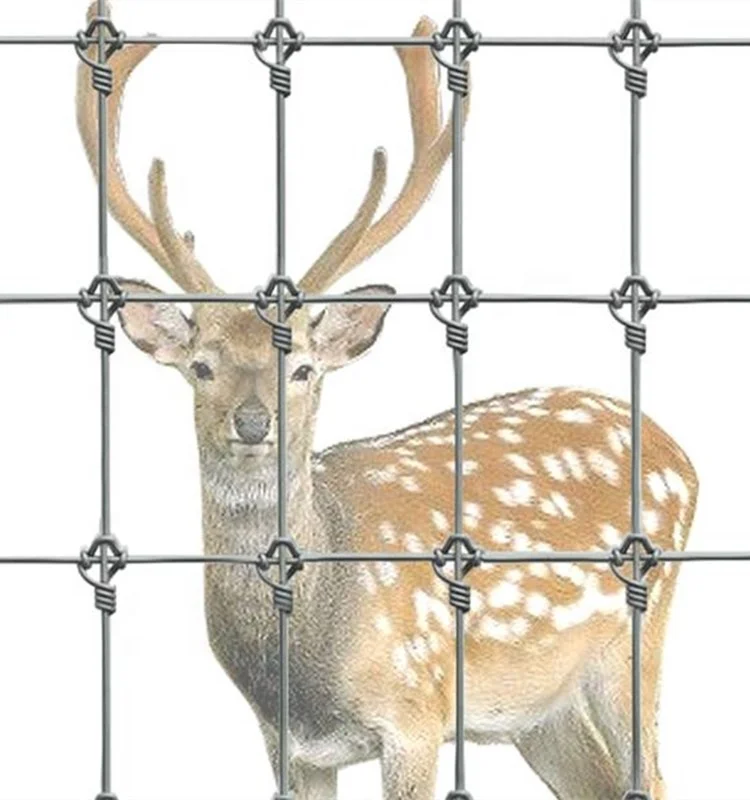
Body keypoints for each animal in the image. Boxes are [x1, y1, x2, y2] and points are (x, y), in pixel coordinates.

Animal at [77, 4, 698, 799]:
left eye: (303, 368)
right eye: (201, 367)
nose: (253, 422)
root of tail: (680, 450)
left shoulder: (415, 713)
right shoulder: (289, 747)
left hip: (638, 634)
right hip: (540, 710)